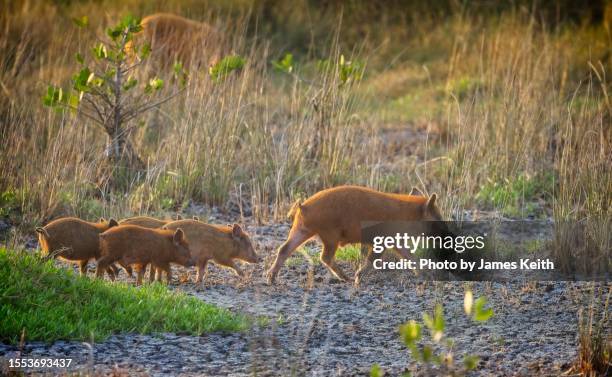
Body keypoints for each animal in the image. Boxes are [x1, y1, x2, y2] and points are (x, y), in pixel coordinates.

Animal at [266, 184, 448, 284]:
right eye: (437, 219)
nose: (447, 235)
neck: (406, 215)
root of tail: (303, 206)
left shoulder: (396, 241)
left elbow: (409, 255)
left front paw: (426, 274)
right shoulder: (383, 240)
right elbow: (373, 258)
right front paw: (358, 278)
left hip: (301, 229)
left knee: (284, 248)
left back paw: (270, 279)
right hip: (330, 235)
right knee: (324, 257)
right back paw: (346, 279)